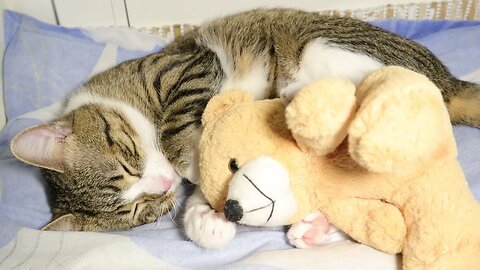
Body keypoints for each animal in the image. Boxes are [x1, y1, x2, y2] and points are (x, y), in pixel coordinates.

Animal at [7, 8, 480, 240]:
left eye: (127, 165)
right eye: (139, 211)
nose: (163, 186)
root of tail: (447, 80)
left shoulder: (185, 66)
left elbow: (180, 118)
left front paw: (187, 160)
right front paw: (207, 218)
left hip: (324, 47)